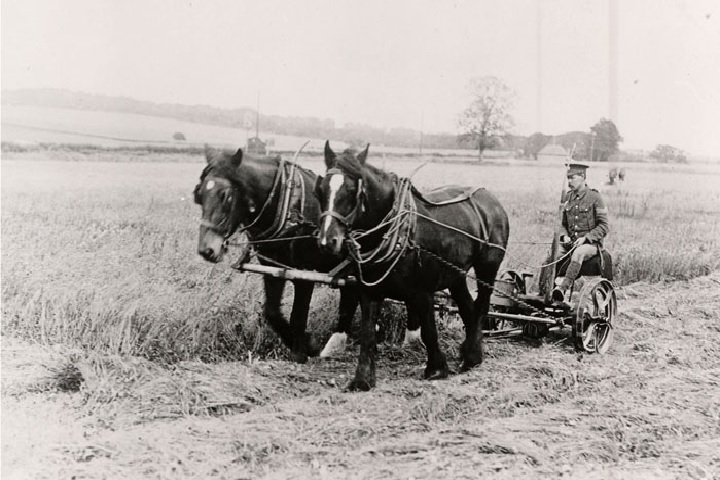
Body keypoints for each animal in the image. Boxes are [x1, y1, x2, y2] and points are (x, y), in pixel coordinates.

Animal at [195, 147, 422, 364]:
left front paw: (301, 351)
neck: (288, 205)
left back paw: (412, 338)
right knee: (350, 297)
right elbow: (271, 312)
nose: (207, 249)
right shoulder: (273, 268)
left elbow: (298, 315)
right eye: (199, 194)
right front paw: (308, 344)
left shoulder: (304, 273)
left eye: (226, 195)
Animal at [316, 142, 512, 390]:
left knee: (482, 306)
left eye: (352, 191)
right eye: (320, 189)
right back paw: (469, 352)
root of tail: (490, 199)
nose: (327, 241)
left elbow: (429, 330)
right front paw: (362, 380)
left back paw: (471, 357)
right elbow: (368, 333)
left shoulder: (423, 291)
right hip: (456, 274)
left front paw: (436, 369)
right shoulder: (369, 292)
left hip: (488, 267)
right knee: (468, 307)